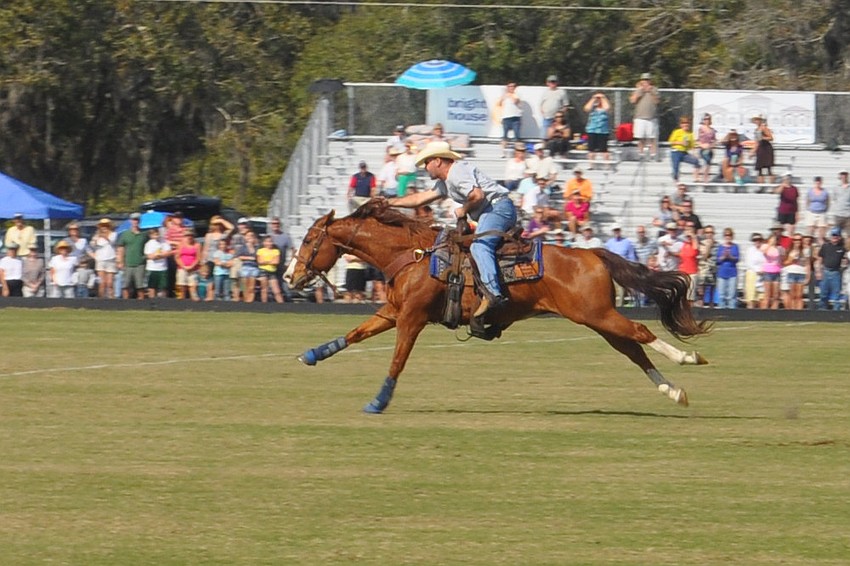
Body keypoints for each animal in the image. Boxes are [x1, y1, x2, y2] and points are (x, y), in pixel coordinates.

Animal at [285, 200, 711, 414]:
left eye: (308, 240)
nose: (290, 276)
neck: (412, 255)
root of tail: (590, 252)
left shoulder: (412, 319)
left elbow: (397, 361)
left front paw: (379, 401)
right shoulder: (392, 313)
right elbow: (354, 334)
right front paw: (312, 354)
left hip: (598, 315)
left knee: (641, 333)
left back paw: (688, 359)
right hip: (598, 320)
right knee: (633, 349)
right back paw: (674, 391)